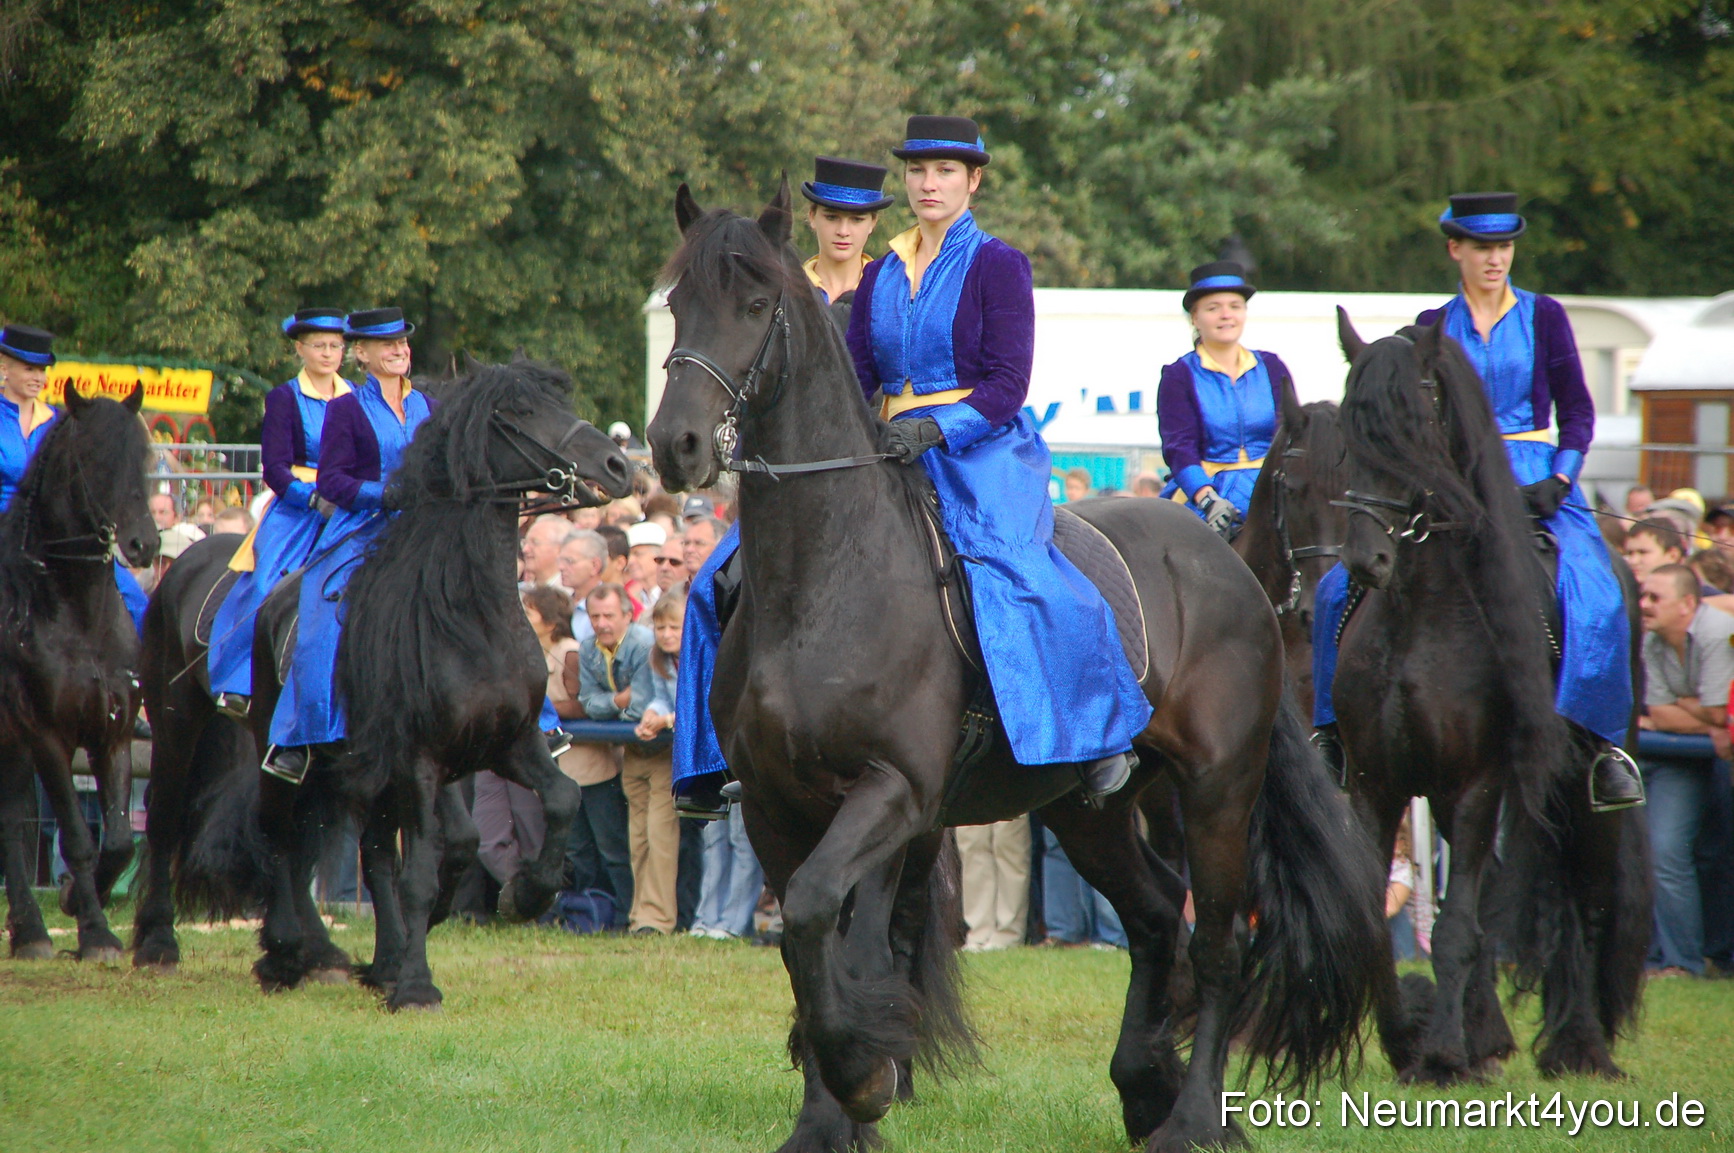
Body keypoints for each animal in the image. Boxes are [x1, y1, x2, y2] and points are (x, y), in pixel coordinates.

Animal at [0, 382, 157, 961]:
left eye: (143, 458)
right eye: (93, 459)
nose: (144, 545)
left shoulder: (111, 733)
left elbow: (118, 840)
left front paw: (75, 898)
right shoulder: (48, 735)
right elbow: (76, 838)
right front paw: (95, 933)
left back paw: (31, 931)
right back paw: (30, 931)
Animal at [143, 361, 633, 1008]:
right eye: (522, 412)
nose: (620, 465)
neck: (467, 614)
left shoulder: (509, 742)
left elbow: (558, 799)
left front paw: (526, 893)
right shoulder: (420, 759)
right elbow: (422, 869)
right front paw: (418, 984)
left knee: (351, 851)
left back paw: (365, 958)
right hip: (214, 731)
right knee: (252, 831)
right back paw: (248, 949)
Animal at [1330, 312, 1650, 1083]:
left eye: (1413, 427)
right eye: (1348, 430)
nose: (1366, 560)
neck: (1419, 614)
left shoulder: (1477, 781)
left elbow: (1456, 929)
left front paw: (1441, 1054)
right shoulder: (1376, 782)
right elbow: (1385, 919)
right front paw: (1407, 1040)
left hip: (1579, 789)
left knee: (1581, 900)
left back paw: (1580, 1045)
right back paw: (1491, 1035)